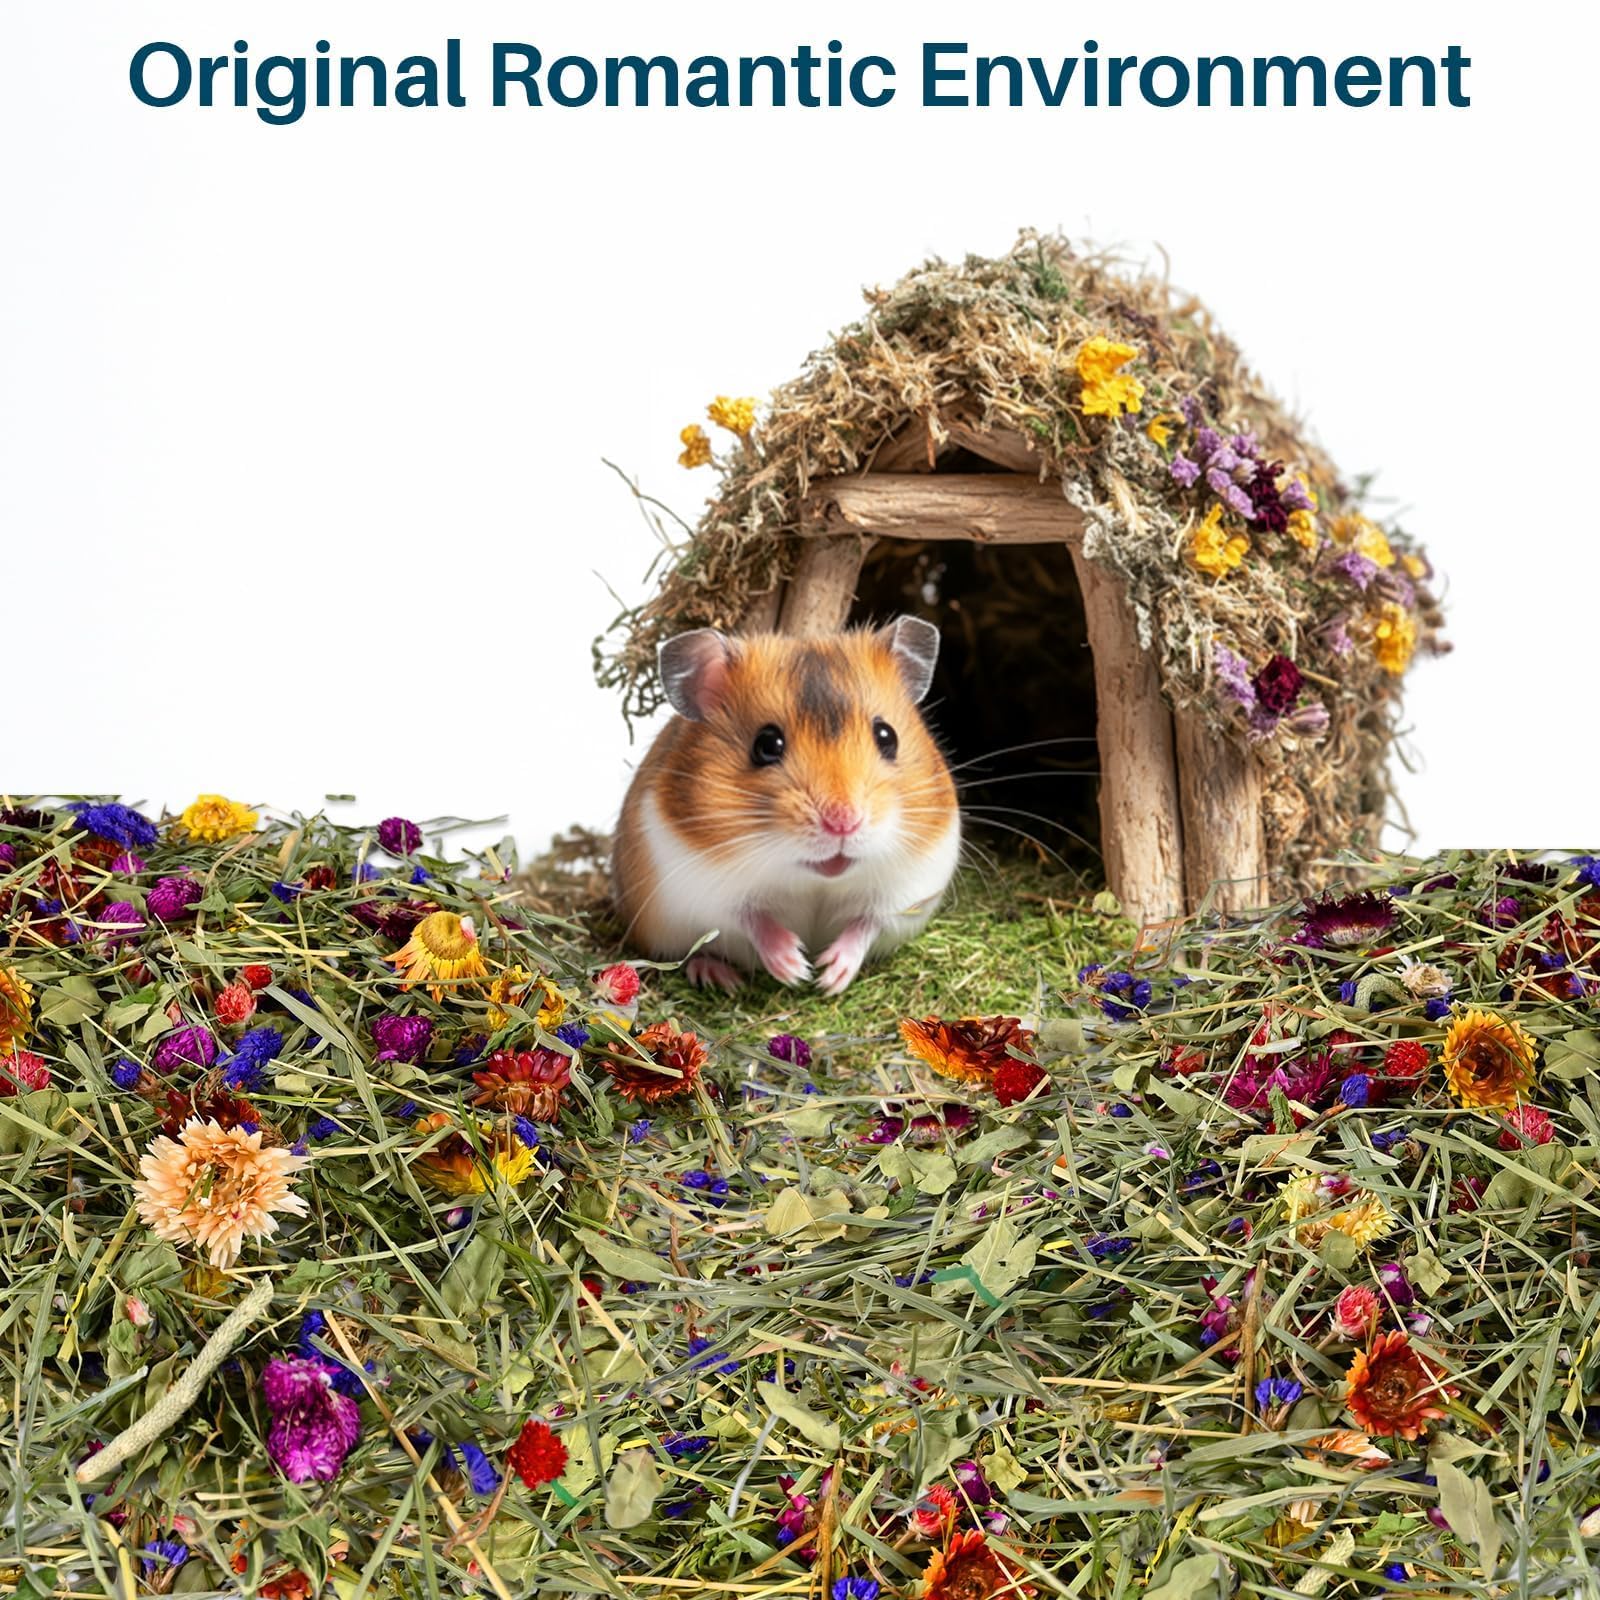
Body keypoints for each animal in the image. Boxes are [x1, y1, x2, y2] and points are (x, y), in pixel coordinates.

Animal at [612, 618, 961, 995]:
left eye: (887, 737)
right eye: (767, 745)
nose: (843, 823)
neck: (814, 878)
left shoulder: (908, 890)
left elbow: (866, 923)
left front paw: (828, 977)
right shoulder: (703, 887)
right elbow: (752, 919)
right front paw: (796, 967)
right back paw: (719, 976)